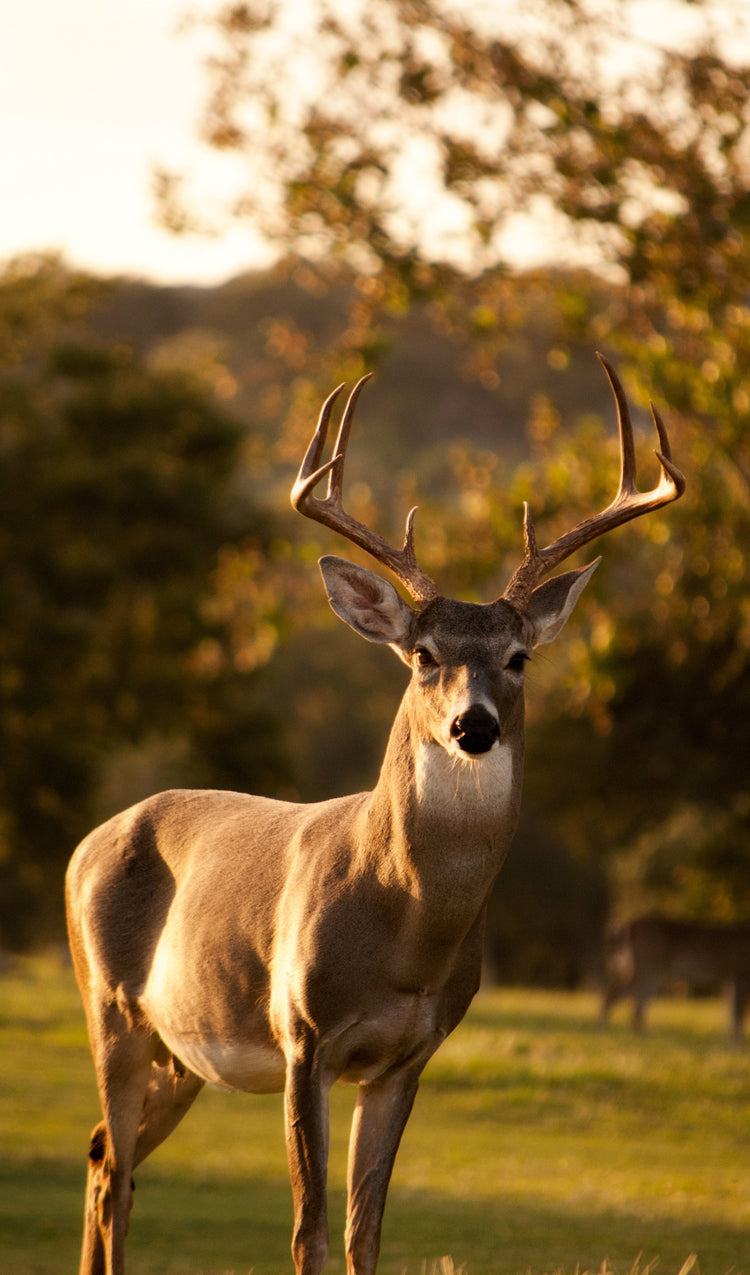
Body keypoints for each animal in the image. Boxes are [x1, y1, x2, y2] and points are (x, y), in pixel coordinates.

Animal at [66, 354, 684, 1275]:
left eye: (518, 657)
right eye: (423, 654)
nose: (473, 725)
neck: (405, 929)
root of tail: (87, 843)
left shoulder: (407, 1057)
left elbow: (366, 1233)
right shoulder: (303, 1035)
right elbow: (309, 1231)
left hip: (182, 1052)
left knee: (107, 1153)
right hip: (110, 1005)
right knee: (114, 1171)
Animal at [601, 914, 750, 1043]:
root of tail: (626, 927)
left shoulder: (729, 978)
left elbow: (730, 1011)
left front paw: (731, 1043)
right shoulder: (739, 973)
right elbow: (738, 1012)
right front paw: (737, 1044)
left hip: (650, 971)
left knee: (637, 1002)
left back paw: (645, 1035)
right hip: (646, 967)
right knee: (615, 992)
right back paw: (604, 1029)